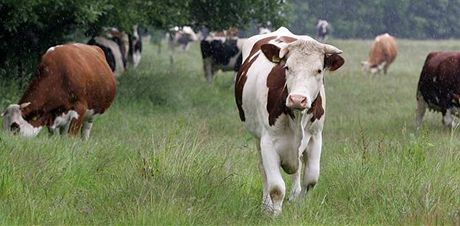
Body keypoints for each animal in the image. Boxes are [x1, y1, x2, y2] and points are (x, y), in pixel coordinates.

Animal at [234, 26, 344, 215]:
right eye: (287, 67)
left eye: (319, 70)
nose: (297, 99)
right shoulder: (268, 141)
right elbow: (276, 187)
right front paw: (275, 214)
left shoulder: (315, 137)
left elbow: (311, 179)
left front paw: (299, 207)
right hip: (258, 138)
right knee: (263, 170)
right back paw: (266, 205)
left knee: (297, 169)